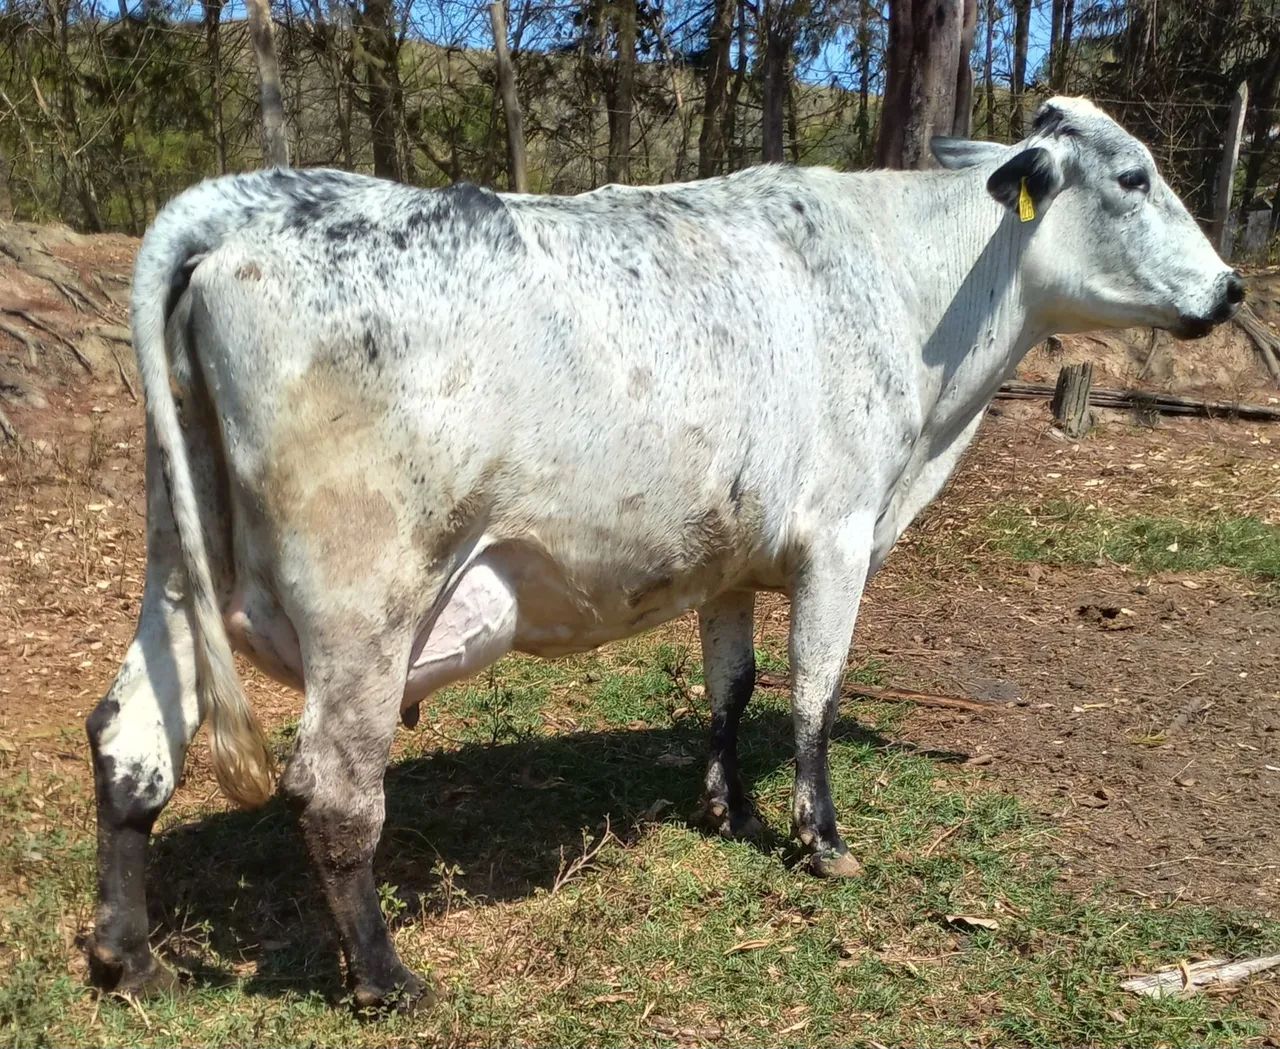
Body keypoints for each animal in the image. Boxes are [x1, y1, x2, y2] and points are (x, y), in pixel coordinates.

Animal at [85, 97, 1243, 1011]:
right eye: (1134, 176)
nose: (1232, 287)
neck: (905, 291)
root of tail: (243, 202)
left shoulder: (729, 556)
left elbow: (732, 683)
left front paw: (723, 805)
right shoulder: (838, 535)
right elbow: (815, 693)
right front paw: (820, 838)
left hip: (179, 560)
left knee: (130, 739)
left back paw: (130, 958)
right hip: (365, 603)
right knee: (332, 788)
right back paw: (385, 976)